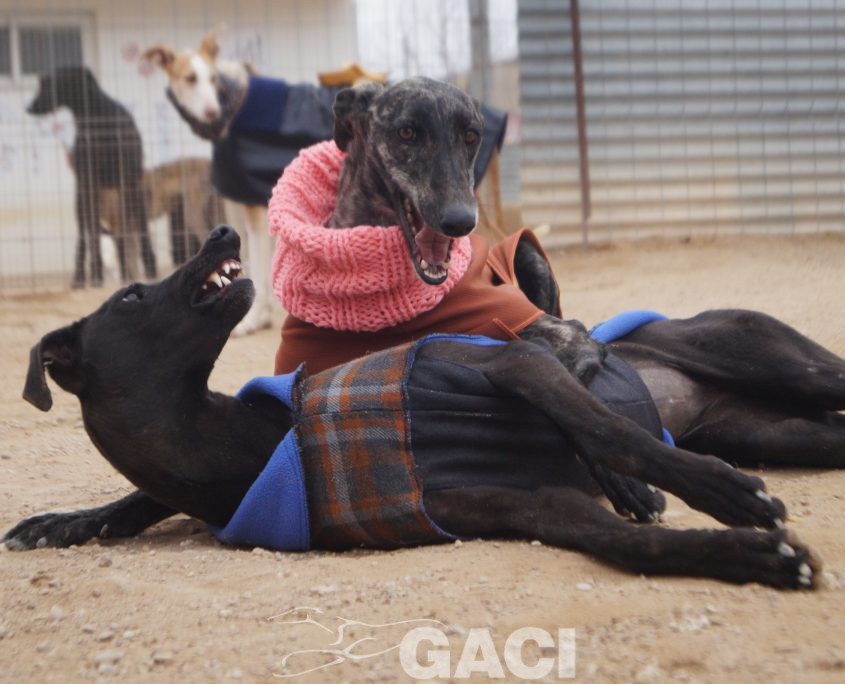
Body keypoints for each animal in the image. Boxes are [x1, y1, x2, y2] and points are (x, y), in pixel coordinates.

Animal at [7, 225, 844, 590]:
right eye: (131, 295)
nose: (217, 230)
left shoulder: (511, 362)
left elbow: (608, 430)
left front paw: (724, 497)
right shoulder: (533, 507)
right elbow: (627, 544)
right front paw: (750, 557)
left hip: (782, 363)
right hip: (777, 430)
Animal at [27, 66, 157, 287]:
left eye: (47, 84)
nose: (28, 107)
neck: (96, 117)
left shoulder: (127, 181)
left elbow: (129, 233)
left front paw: (131, 271)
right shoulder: (89, 184)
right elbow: (93, 237)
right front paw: (96, 275)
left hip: (129, 196)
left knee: (132, 231)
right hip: (81, 200)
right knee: (84, 238)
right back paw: (81, 277)